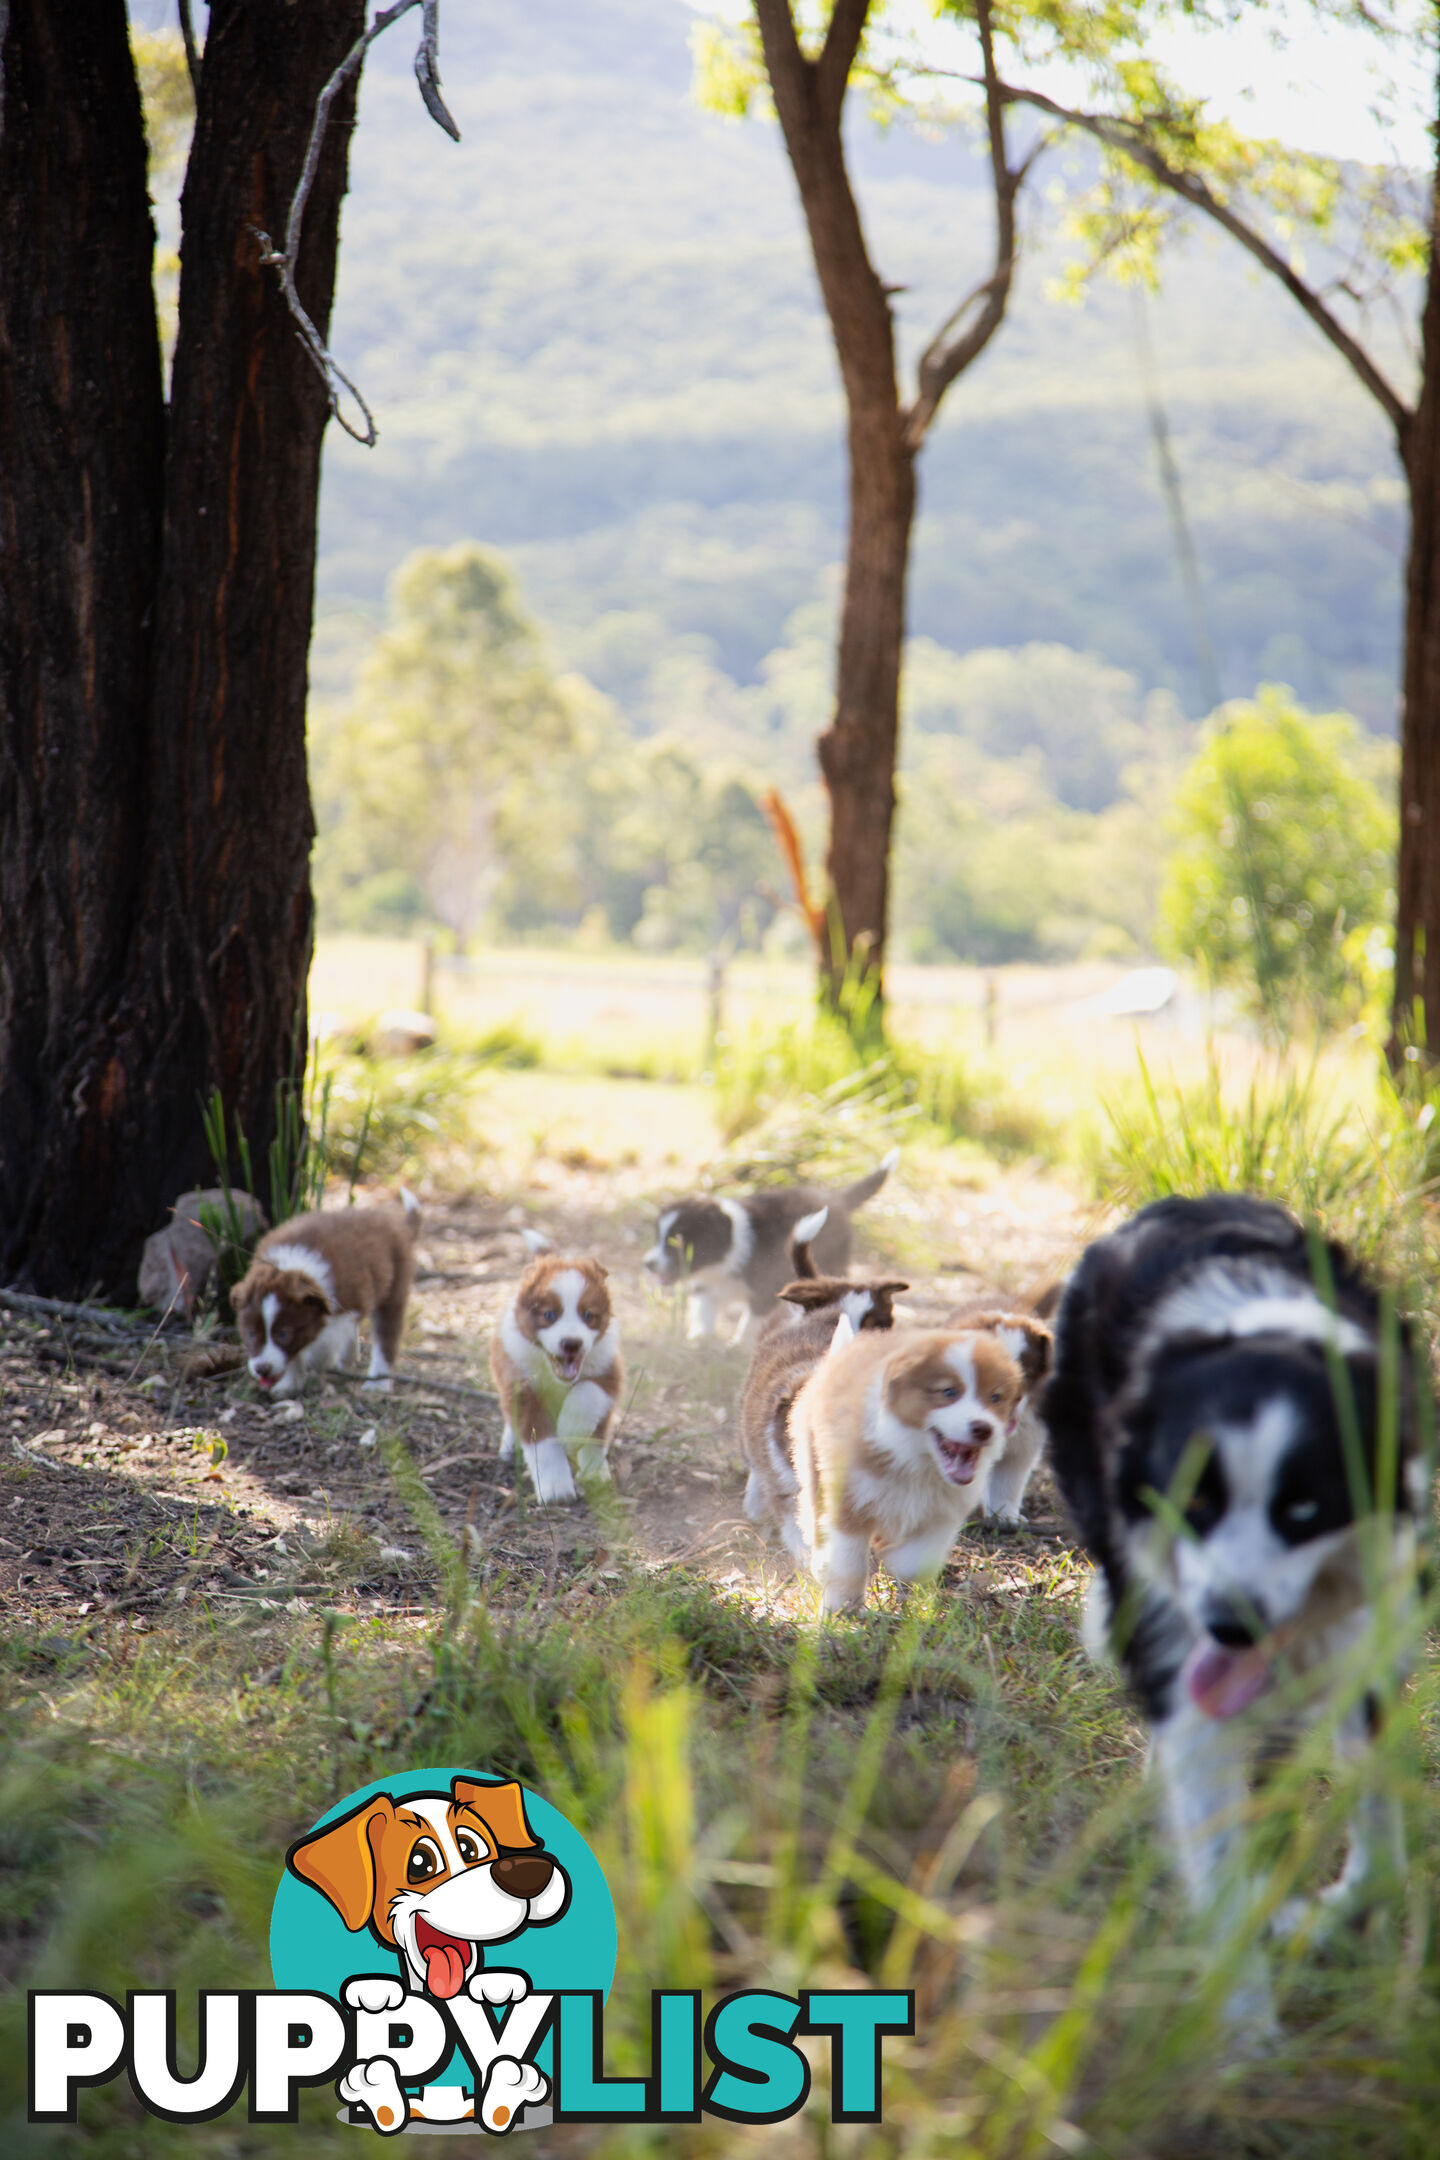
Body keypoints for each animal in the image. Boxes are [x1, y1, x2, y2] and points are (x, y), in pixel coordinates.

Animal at [232, 1183, 423, 1399]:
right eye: (250, 1334)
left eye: (283, 1334)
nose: (262, 1369)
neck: (290, 1267)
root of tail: (398, 1226)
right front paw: (290, 1383)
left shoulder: (350, 1304)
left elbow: (324, 1344)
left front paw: (317, 1362)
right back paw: (348, 1359)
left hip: (394, 1291)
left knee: (386, 1339)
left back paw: (378, 1383)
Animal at [492, 1252, 621, 1503]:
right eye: (549, 1315)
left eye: (588, 1315)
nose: (572, 1343)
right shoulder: (522, 1386)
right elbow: (543, 1443)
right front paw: (556, 1489)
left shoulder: (609, 1371)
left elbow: (588, 1392)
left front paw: (571, 1433)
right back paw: (509, 1446)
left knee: (598, 1433)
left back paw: (595, 1471)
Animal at [794, 1304, 1053, 1615]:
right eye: (948, 1392)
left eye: (996, 1396)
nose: (985, 1428)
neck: (918, 1460)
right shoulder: (849, 1499)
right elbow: (848, 1561)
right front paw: (841, 1608)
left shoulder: (942, 1514)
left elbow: (916, 1562)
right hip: (814, 1467)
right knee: (816, 1518)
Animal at [1049, 1192, 1433, 2030]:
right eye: (1195, 1502)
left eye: (1305, 1510)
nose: (1232, 1626)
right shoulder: (1175, 1627)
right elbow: (1218, 1854)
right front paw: (1244, 2033)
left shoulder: (1367, 1626)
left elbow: (1381, 1846)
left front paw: (1321, 1916)